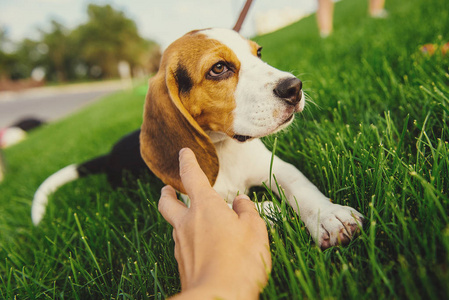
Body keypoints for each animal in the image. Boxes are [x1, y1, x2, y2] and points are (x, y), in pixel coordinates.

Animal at [31, 28, 362, 248]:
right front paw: (270, 209)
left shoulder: (274, 167)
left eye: (258, 53)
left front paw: (329, 217)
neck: (225, 148)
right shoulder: (195, 200)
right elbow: (234, 206)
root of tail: (110, 154)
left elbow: (300, 185)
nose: (294, 87)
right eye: (219, 68)